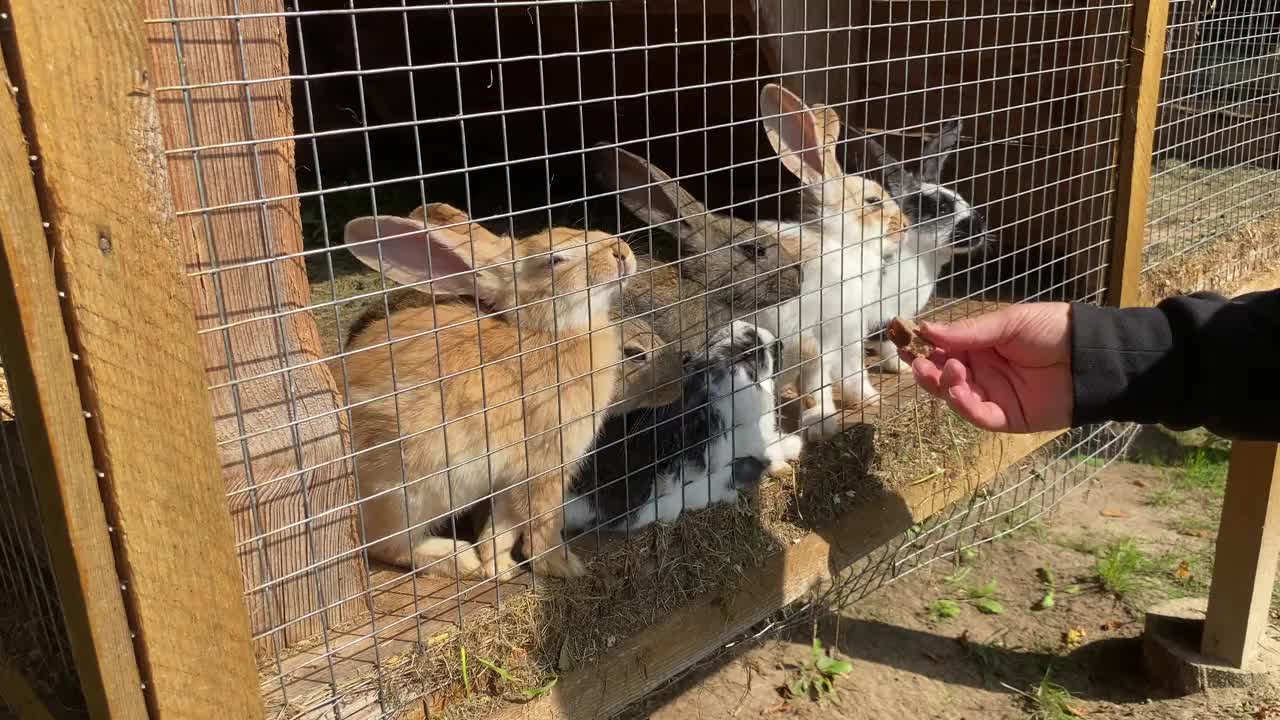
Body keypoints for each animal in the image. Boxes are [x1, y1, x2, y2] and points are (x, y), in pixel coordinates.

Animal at [340, 202, 640, 576]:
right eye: (555, 260)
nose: (621, 251)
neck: (550, 332)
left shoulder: (509, 478)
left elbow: (502, 526)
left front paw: (500, 567)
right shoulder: (546, 464)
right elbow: (542, 524)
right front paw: (564, 567)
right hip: (405, 493)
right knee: (385, 545)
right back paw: (457, 557)